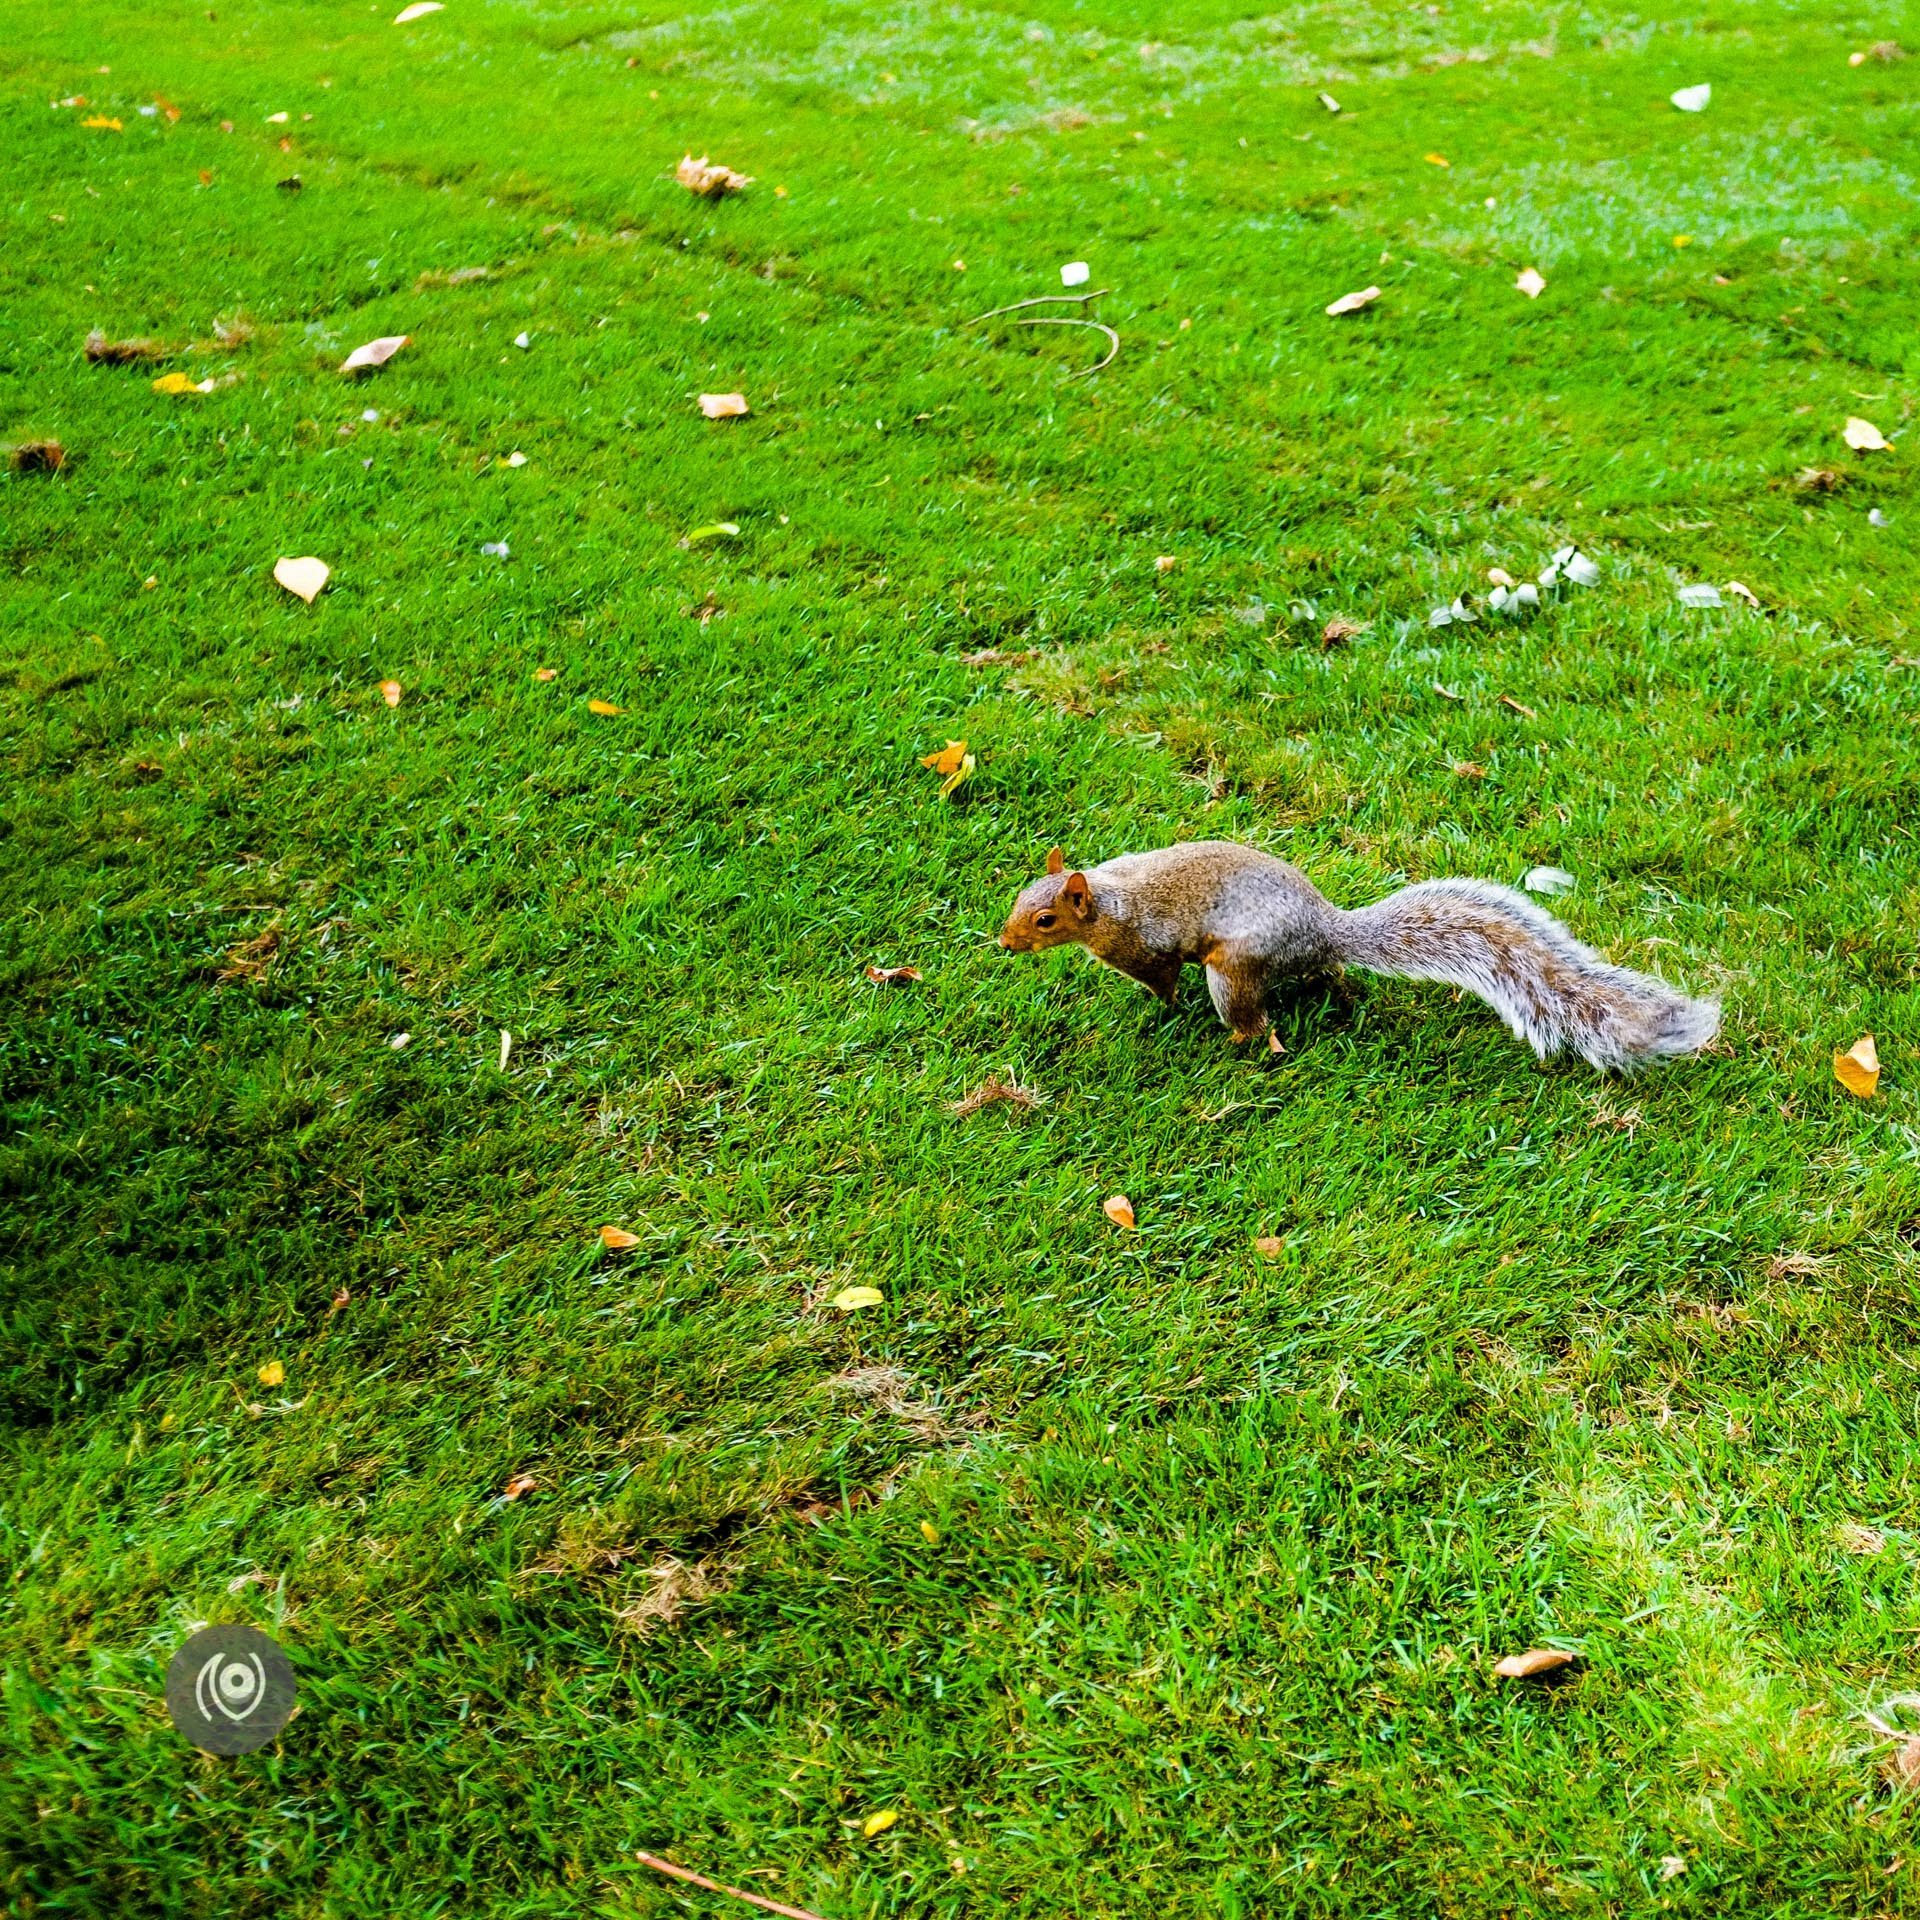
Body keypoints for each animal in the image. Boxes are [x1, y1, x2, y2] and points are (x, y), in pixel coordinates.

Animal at [998, 844, 1720, 1082]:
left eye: (1046, 919)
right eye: (1019, 897)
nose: (1004, 944)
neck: (1109, 901)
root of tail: (1326, 929)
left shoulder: (1146, 945)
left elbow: (1162, 978)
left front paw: (1162, 1009)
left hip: (1233, 966)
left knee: (1258, 1023)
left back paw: (1235, 1043)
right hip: (1296, 965)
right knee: (1330, 979)